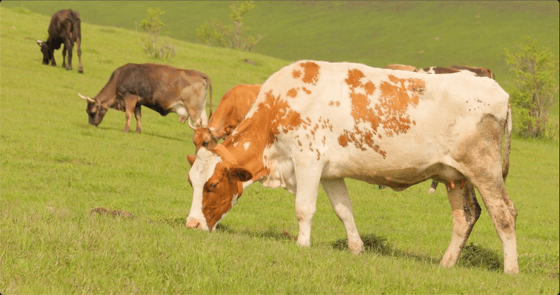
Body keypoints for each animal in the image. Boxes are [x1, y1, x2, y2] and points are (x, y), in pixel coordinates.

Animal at [77, 64, 211, 134]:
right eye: (87, 111)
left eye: (93, 112)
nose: (91, 124)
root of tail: (201, 75)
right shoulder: (138, 102)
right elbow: (138, 116)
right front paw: (138, 130)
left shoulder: (130, 97)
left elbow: (128, 114)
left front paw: (125, 130)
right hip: (201, 108)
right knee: (204, 123)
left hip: (193, 109)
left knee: (197, 124)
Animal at [186, 60, 520, 276]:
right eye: (192, 182)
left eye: (212, 185)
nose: (191, 225)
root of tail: (497, 89)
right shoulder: (331, 173)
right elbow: (343, 210)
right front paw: (357, 248)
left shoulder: (308, 160)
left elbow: (304, 208)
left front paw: (302, 244)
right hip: (456, 176)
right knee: (465, 217)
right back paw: (446, 264)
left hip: (484, 169)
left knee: (503, 213)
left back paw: (511, 270)